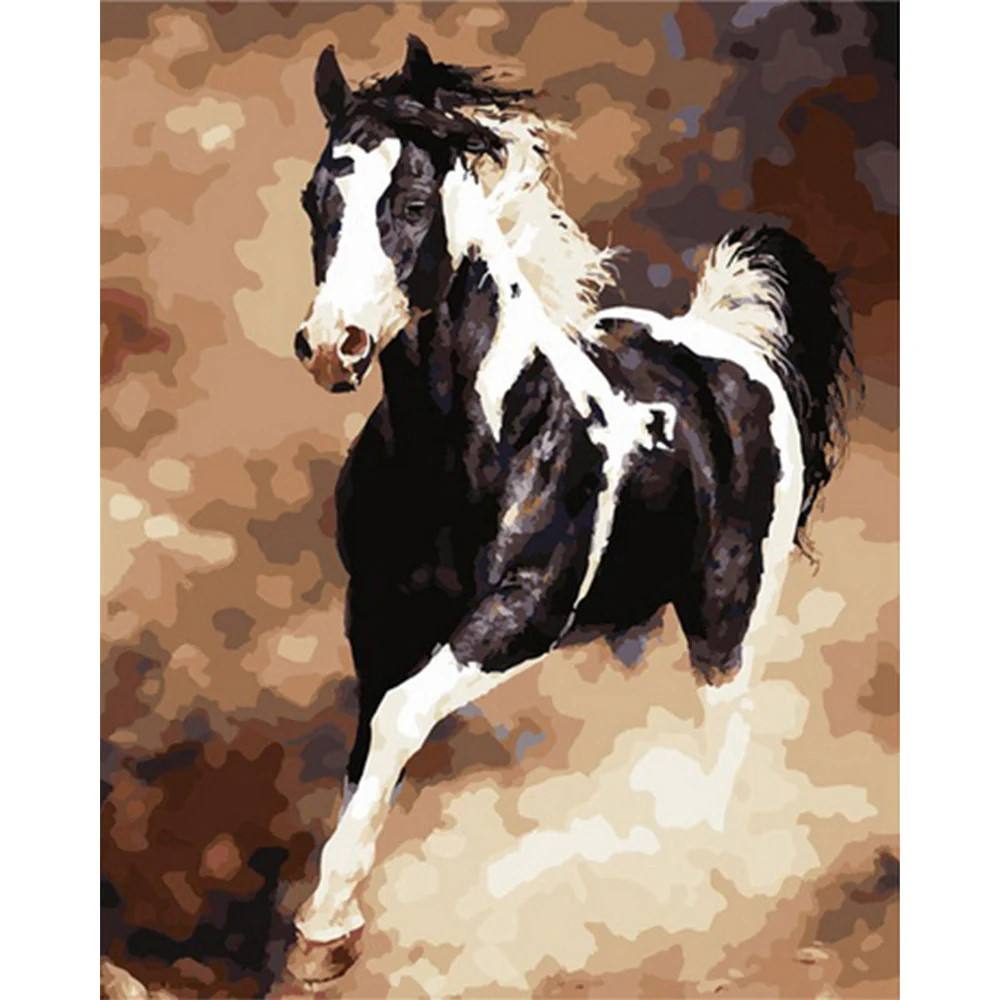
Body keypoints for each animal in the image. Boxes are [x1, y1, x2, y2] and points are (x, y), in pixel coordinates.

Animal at [284, 36, 857, 985]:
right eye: (314, 198)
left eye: (411, 202)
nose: (334, 346)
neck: (473, 444)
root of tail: (731, 347)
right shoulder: (378, 612)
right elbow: (369, 744)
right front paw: (328, 929)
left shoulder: (520, 617)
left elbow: (401, 715)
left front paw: (321, 926)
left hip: (728, 618)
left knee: (724, 739)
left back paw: (707, 892)